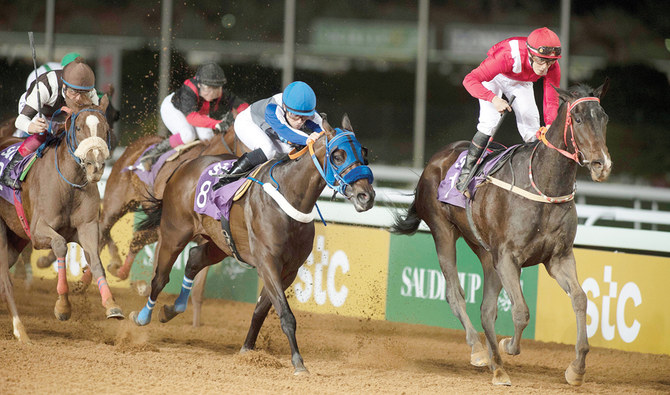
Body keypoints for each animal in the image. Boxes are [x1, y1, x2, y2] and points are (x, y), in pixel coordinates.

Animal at [0, 96, 124, 344]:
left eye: (106, 129)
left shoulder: (87, 227)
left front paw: (111, 305)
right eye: (78, 128)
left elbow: (95, 260)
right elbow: (59, 245)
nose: (96, 166)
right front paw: (63, 307)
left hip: (15, 238)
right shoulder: (38, 231)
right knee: (6, 281)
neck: (69, 184)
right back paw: (21, 331)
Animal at [129, 116, 376, 376]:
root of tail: (184, 165)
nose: (366, 196)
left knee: (195, 259)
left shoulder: (289, 270)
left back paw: (172, 309)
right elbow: (286, 314)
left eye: (363, 152)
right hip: (174, 232)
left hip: (220, 243)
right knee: (160, 278)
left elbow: (261, 310)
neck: (289, 196)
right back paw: (143, 316)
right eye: (338, 155)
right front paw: (298, 362)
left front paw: (248, 349)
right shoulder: (267, 263)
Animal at [394, 82, 616, 388]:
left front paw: (577, 367)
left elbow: (580, 299)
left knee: (487, 308)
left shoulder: (558, 257)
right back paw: (479, 351)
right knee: (455, 293)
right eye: (579, 119)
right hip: (443, 232)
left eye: (604, 118)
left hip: (486, 252)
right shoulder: (509, 257)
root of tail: (436, 160)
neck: (543, 186)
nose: (601, 165)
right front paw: (507, 345)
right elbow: (521, 311)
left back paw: (496, 365)